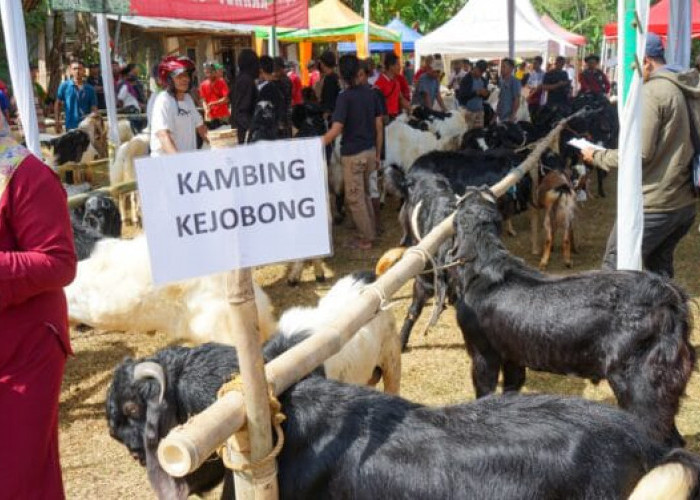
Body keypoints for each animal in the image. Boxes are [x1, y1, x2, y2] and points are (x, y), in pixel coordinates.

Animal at [448, 188, 696, 450]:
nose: (474, 188)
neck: (483, 266)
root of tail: (672, 300)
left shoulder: (483, 354)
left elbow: (484, 391)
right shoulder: (512, 356)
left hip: (641, 385)